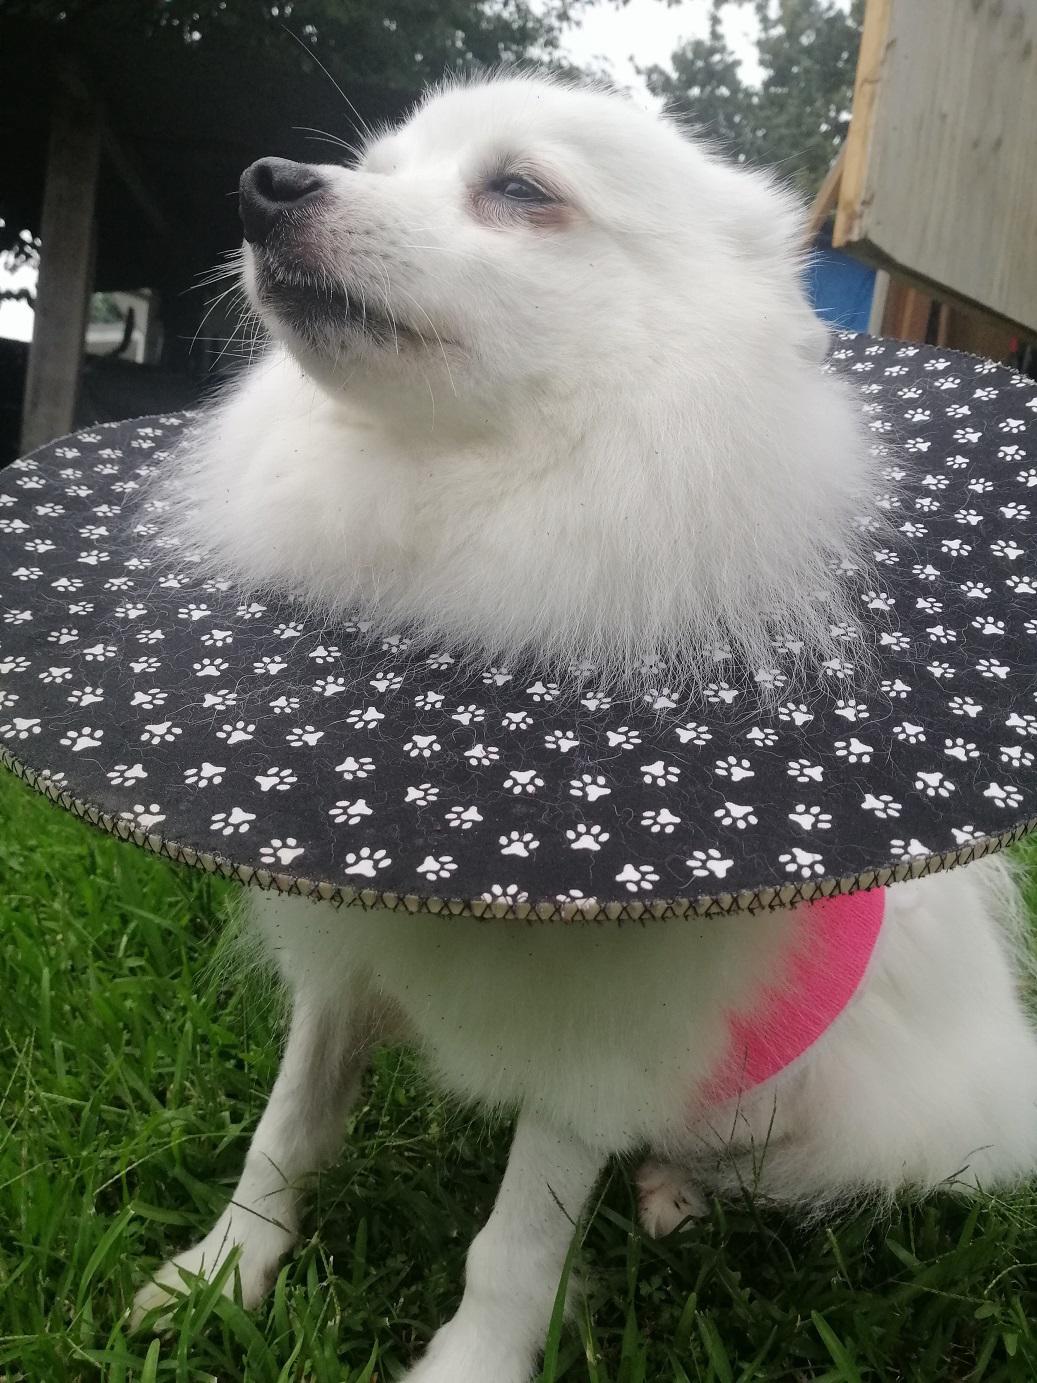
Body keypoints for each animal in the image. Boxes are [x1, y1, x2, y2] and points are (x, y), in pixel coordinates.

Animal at [133, 75, 1037, 1381]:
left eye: (520, 190)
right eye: (379, 166)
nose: (265, 185)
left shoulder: (599, 1050)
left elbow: (512, 1247)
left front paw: (470, 1363)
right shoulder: (344, 960)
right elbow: (288, 1125)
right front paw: (225, 1269)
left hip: (843, 1114)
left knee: (763, 1165)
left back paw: (678, 1188)